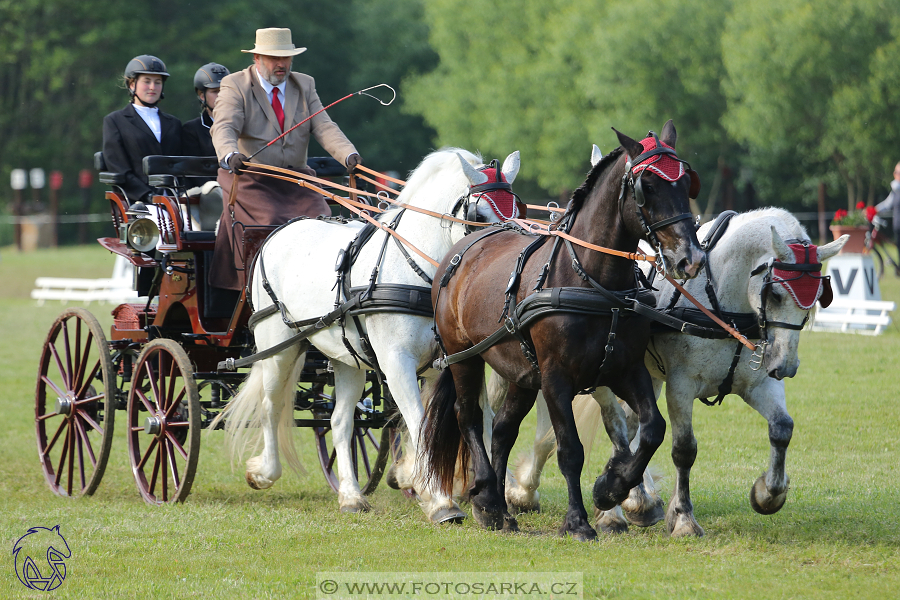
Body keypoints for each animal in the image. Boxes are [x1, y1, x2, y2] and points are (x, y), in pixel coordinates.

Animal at [214, 149, 520, 520]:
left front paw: (497, 493)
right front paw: (439, 499)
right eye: (479, 214)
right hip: (277, 348)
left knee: (340, 421)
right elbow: (420, 421)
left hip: (346, 358)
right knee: (271, 406)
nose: (507, 259)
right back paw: (264, 472)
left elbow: (478, 420)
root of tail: (280, 231)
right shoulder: (396, 362)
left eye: (518, 209)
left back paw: (350, 494)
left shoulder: (457, 360)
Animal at [424, 120, 712, 540]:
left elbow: (653, 429)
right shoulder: (556, 377)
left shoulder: (625, 369)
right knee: (470, 419)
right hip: (464, 356)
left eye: (686, 183)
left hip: (521, 372)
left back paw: (500, 506)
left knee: (503, 429)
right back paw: (488, 499)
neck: (593, 280)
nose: (690, 258)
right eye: (647, 186)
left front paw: (611, 487)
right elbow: (570, 449)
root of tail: (465, 246)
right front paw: (577, 520)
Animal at [492, 205, 852, 536]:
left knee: (631, 427)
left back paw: (633, 498)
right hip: (602, 374)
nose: (785, 366)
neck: (721, 300)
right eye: (775, 293)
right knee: (615, 425)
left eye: (816, 298)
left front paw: (769, 493)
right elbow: (684, 450)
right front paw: (683, 518)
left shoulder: (759, 383)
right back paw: (605, 507)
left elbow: (782, 428)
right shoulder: (681, 385)